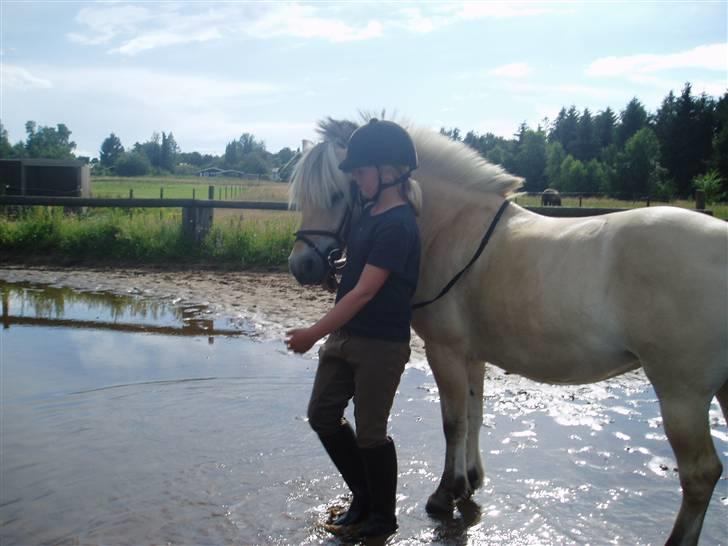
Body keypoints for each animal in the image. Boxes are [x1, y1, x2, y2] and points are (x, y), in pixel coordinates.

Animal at [286, 117, 728, 540]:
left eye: (338, 194)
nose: (301, 266)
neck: (450, 229)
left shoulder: (445, 350)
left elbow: (453, 422)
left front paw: (445, 494)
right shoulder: (472, 355)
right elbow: (475, 414)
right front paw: (470, 481)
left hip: (682, 395)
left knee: (701, 474)